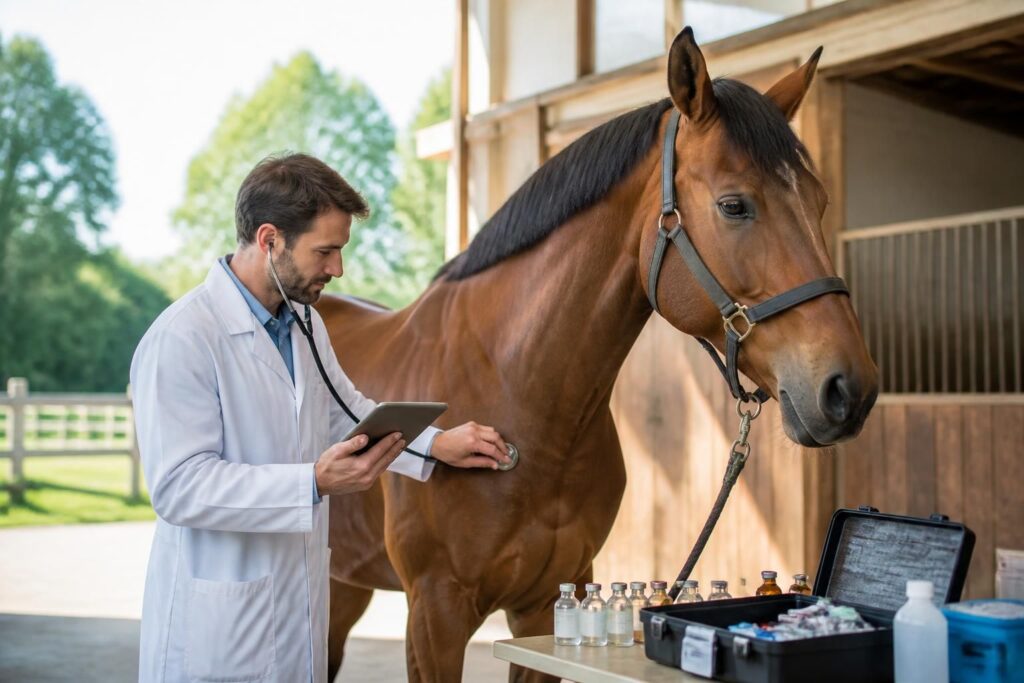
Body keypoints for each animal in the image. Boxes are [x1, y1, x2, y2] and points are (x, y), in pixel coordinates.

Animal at [319, 27, 878, 682]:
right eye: (734, 205)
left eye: (819, 203)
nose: (849, 389)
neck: (516, 396)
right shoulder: (435, 615)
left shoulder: (541, 609)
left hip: (340, 583)